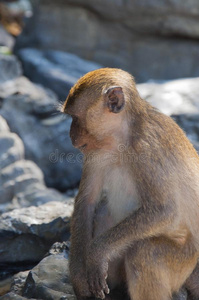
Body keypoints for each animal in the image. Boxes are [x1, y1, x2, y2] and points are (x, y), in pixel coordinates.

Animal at [63, 68, 199, 300]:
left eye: (75, 117)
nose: (71, 136)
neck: (122, 139)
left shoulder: (148, 149)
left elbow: (165, 210)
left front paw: (96, 253)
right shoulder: (95, 151)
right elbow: (86, 202)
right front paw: (79, 276)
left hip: (185, 262)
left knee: (144, 253)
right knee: (102, 212)